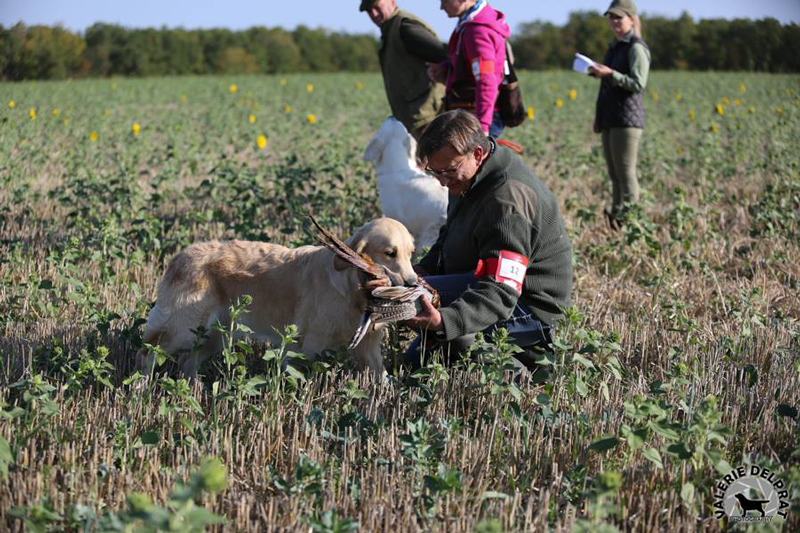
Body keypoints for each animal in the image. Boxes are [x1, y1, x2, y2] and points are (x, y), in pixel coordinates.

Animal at [136, 217, 418, 378]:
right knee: (146, 353)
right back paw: (141, 388)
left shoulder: (369, 349)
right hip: (183, 329)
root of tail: (181, 255)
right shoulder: (306, 347)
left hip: (214, 334)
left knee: (187, 361)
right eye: (389, 253)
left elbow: (382, 379)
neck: (353, 286)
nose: (414, 283)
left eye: (410, 253)